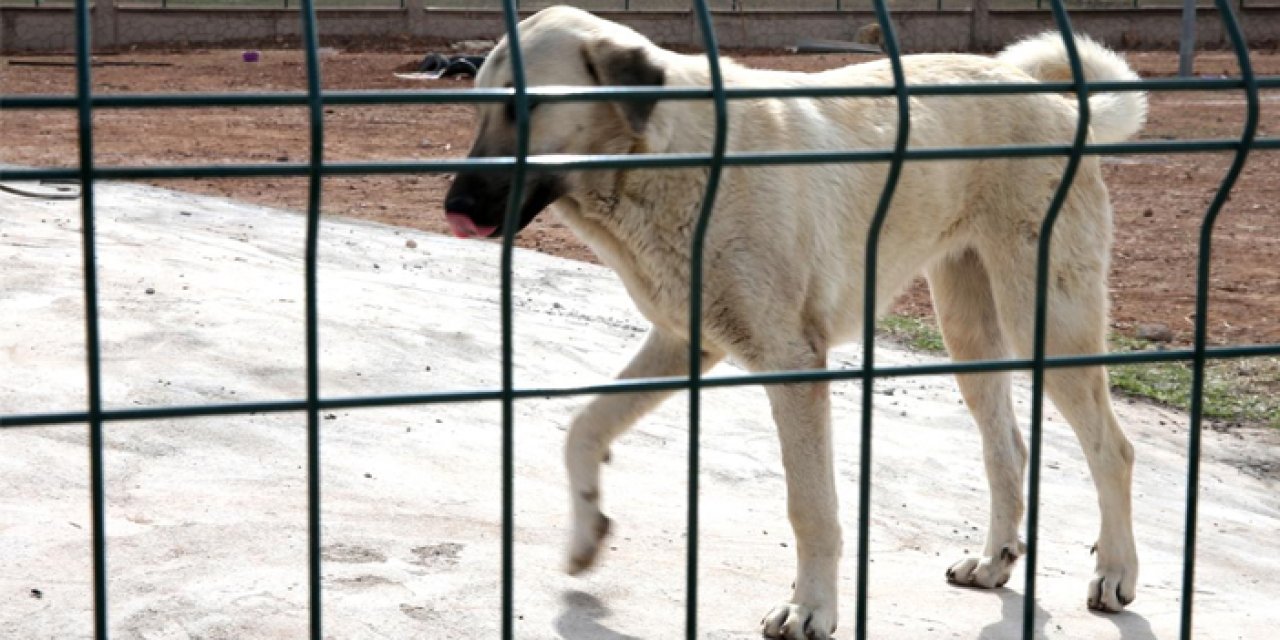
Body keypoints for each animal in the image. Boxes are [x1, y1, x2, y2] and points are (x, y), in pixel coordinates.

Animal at [442, 7, 1152, 637]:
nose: (454, 206)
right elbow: (584, 427)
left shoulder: (793, 364)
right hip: (971, 332)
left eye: (526, 108)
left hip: (1048, 318)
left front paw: (811, 610)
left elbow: (810, 507)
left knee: (1111, 449)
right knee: (1007, 447)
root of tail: (1055, 101)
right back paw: (993, 560)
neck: (667, 158)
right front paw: (587, 532)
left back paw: (1117, 573)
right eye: (480, 107)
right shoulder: (684, 342)